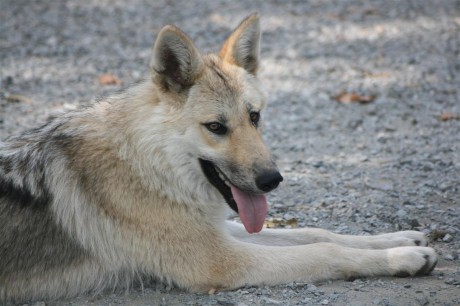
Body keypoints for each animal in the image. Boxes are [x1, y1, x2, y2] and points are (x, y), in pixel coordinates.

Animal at [0, 14, 436, 304]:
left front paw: (401, 240)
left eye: (254, 117)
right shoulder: (220, 261)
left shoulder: (218, 231)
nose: (272, 180)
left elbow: (319, 233)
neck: (144, 164)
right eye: (216, 127)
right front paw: (404, 256)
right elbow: (323, 251)